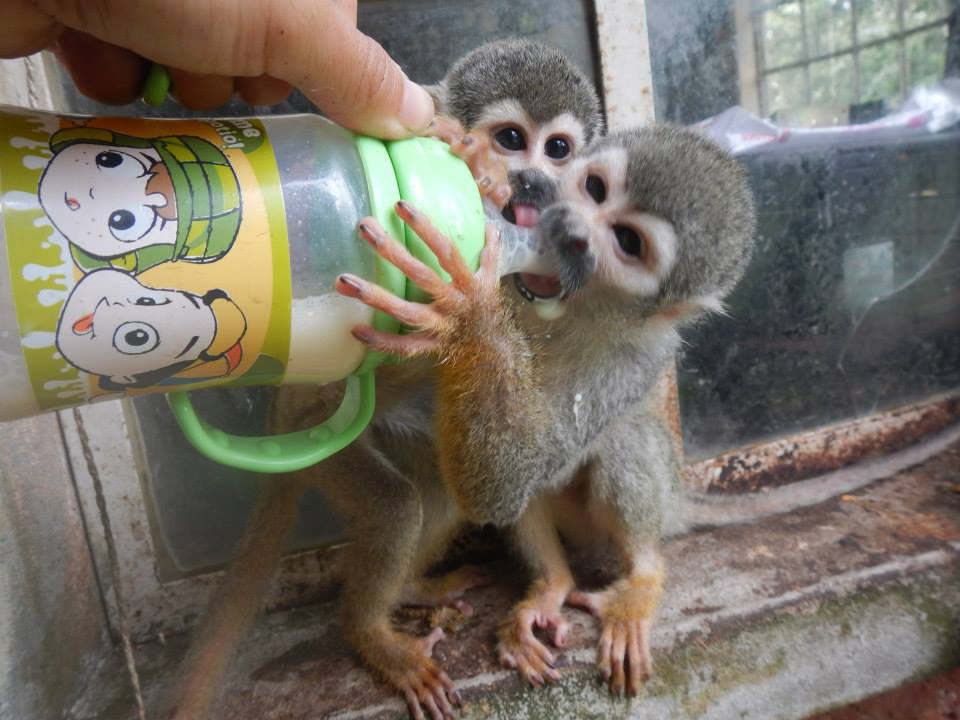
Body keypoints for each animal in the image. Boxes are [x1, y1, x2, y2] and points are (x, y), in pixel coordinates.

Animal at [164, 39, 600, 720]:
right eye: (511, 139)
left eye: (557, 149)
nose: (531, 180)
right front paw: (470, 163)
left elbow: (503, 485)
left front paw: (467, 311)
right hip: (320, 441)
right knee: (392, 505)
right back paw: (368, 632)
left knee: (438, 494)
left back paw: (411, 588)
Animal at [344, 125, 756, 696]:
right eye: (595, 189)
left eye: (628, 242)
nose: (572, 233)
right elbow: (517, 480)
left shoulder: (637, 357)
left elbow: (514, 480)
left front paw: (469, 317)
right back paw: (551, 586)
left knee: (617, 442)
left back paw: (643, 575)